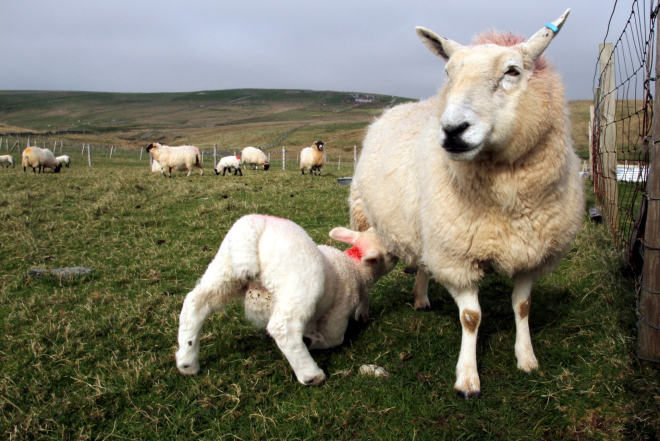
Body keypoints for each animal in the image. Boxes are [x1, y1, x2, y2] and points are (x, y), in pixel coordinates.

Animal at [175, 215, 400, 384]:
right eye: (390, 252)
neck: (354, 267)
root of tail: (254, 225)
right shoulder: (337, 312)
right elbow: (334, 339)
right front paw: (313, 341)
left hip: (223, 271)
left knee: (195, 303)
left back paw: (187, 361)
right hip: (299, 285)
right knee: (282, 328)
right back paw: (311, 375)